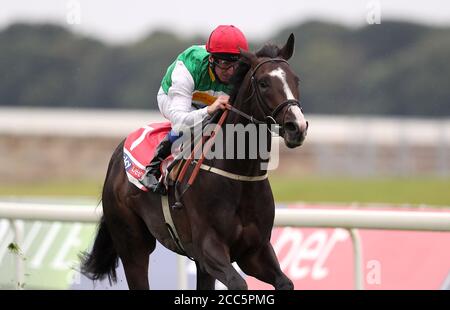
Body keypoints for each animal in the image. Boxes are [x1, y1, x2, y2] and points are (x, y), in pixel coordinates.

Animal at [81, 34, 308, 290]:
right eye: (263, 83)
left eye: (296, 79)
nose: (297, 126)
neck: (240, 176)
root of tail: (117, 157)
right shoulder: (208, 248)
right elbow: (239, 284)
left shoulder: (255, 252)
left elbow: (284, 282)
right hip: (132, 244)